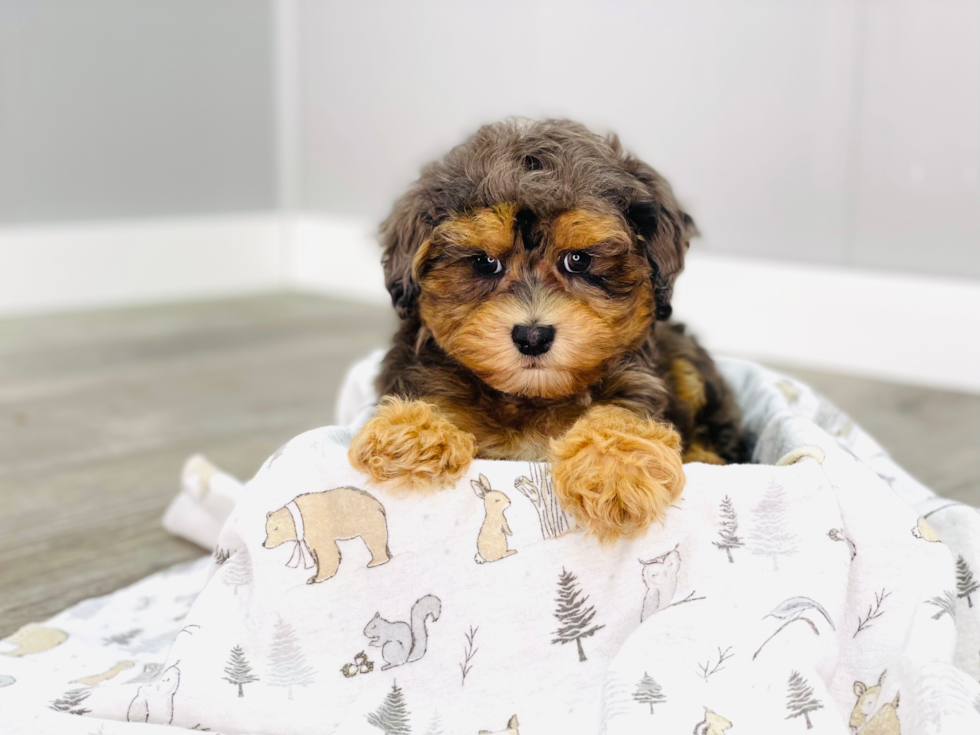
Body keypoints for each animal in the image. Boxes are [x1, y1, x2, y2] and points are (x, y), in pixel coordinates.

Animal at [352, 119, 744, 540]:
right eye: (485, 262)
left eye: (579, 260)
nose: (532, 337)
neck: (531, 397)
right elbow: (436, 395)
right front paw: (413, 431)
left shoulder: (640, 382)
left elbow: (620, 412)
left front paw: (614, 468)